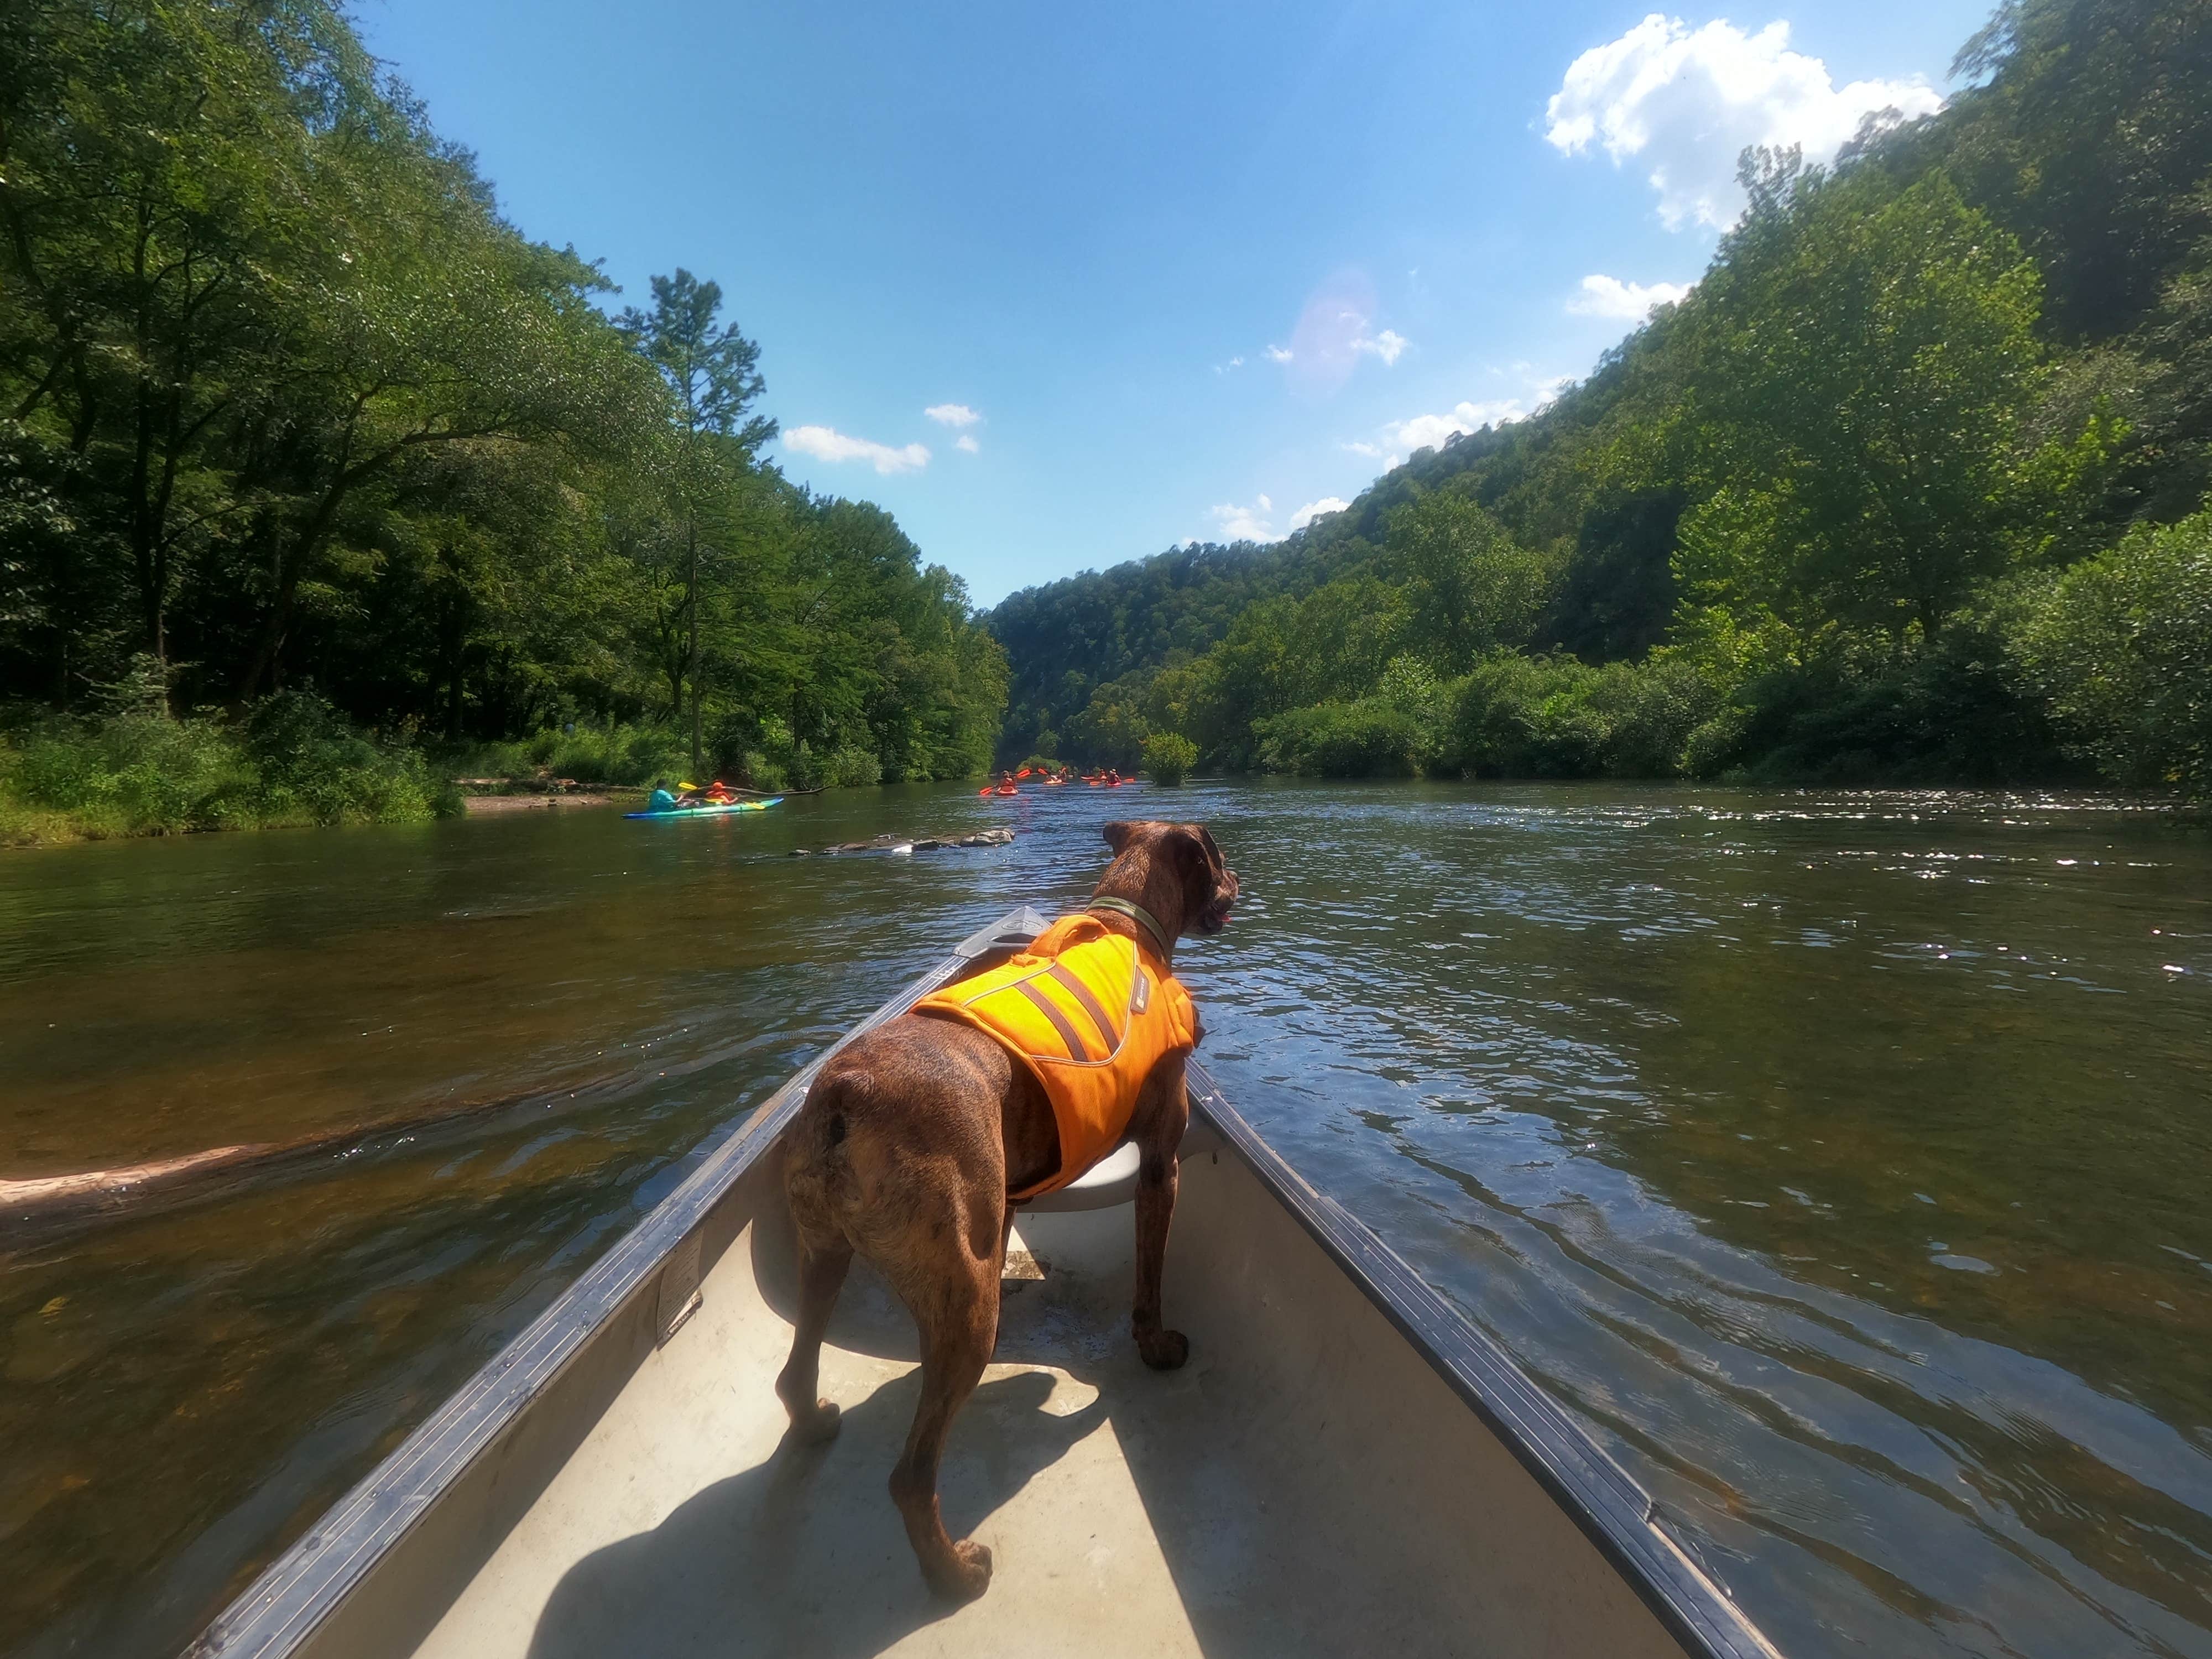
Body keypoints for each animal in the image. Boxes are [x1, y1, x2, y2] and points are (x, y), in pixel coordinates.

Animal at [770, 818, 1239, 1601]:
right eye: (1221, 860)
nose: (1240, 884)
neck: (1128, 916)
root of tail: (847, 1095)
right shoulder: (1161, 1164)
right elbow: (1149, 1278)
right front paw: (1155, 1347)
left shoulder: (1007, 1200)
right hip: (962, 1307)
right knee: (910, 1477)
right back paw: (954, 1573)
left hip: (824, 1252)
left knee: (795, 1371)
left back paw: (813, 1426)